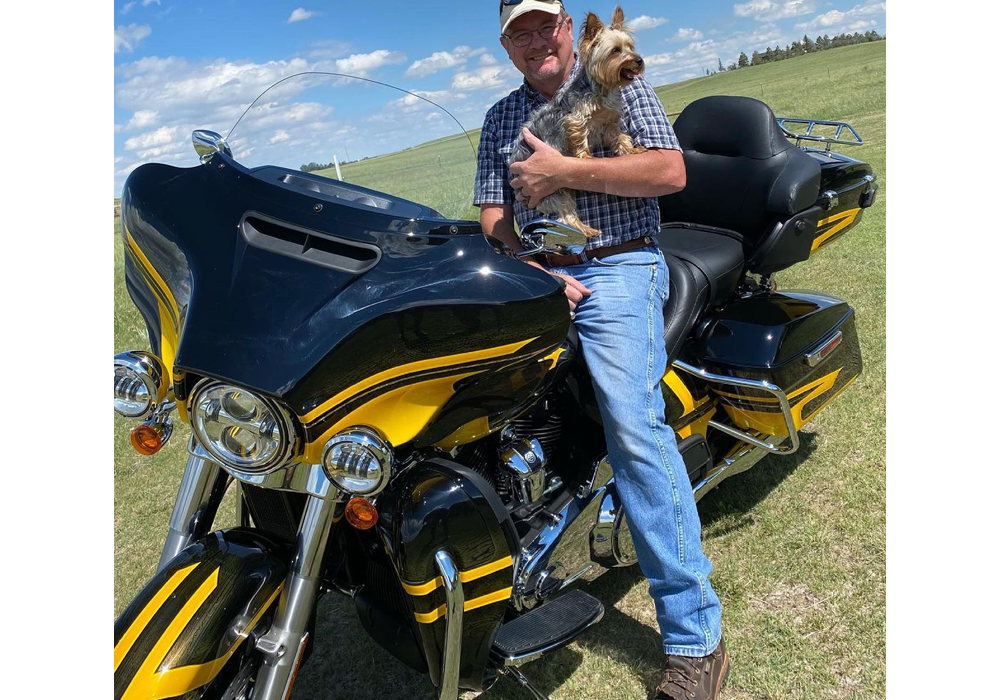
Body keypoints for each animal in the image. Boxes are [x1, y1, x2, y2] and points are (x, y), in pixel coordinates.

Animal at [508, 4, 648, 241]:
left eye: (631, 47)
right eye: (616, 51)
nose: (638, 60)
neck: (602, 88)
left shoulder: (609, 122)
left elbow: (620, 138)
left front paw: (631, 150)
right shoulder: (576, 119)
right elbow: (580, 140)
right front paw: (587, 158)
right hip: (553, 191)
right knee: (566, 216)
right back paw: (586, 231)